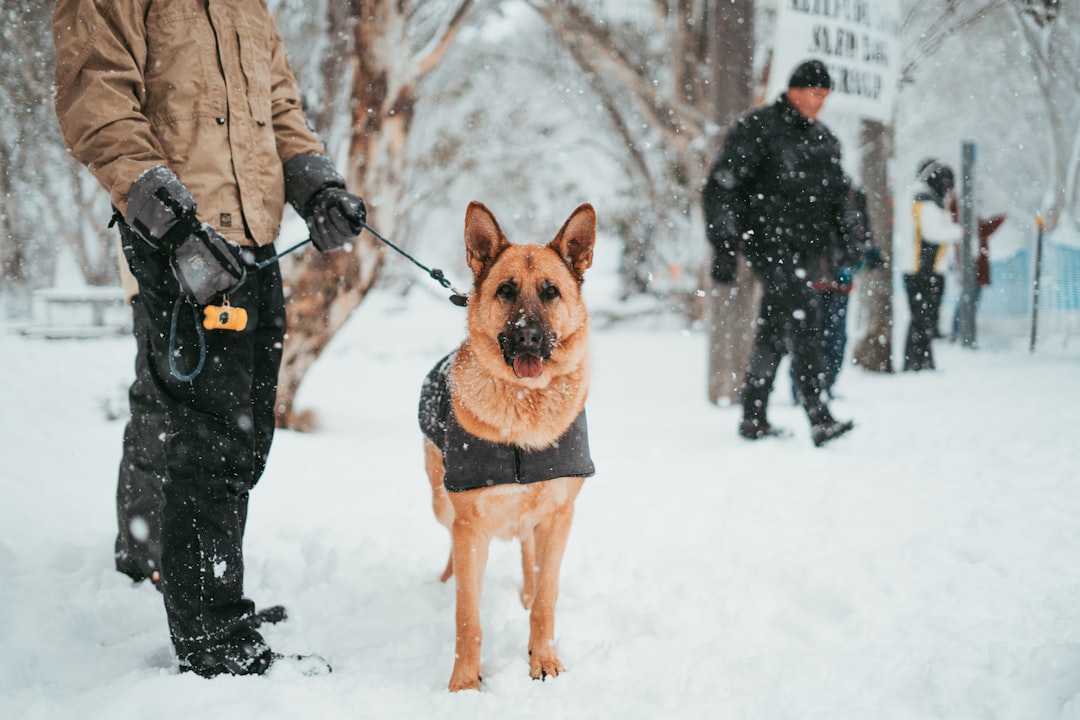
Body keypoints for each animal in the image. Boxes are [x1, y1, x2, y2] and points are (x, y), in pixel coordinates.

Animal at [416, 198, 600, 690]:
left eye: (551, 292)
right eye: (506, 291)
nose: (528, 337)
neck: (524, 407)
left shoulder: (559, 516)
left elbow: (547, 598)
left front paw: (544, 660)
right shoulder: (470, 526)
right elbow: (468, 616)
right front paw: (465, 684)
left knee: (527, 554)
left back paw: (525, 592)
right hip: (442, 502)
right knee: (451, 546)